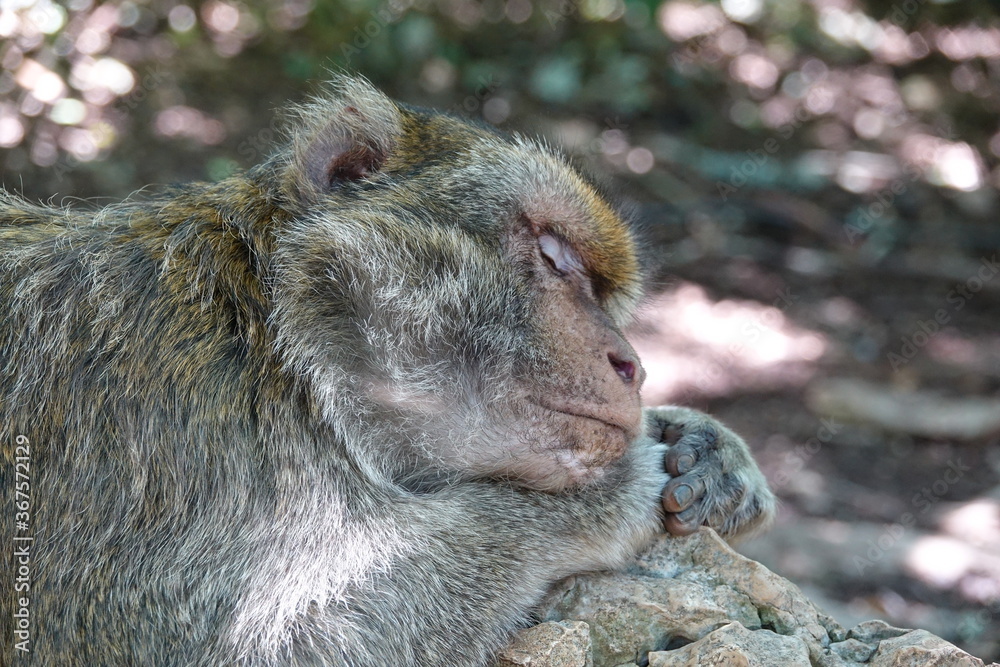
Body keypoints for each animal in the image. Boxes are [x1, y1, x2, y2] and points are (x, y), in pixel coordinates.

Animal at [0, 76, 774, 666]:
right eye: (555, 257)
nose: (631, 364)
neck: (280, 345)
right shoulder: (161, 416)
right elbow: (290, 648)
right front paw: (605, 495)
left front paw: (704, 446)